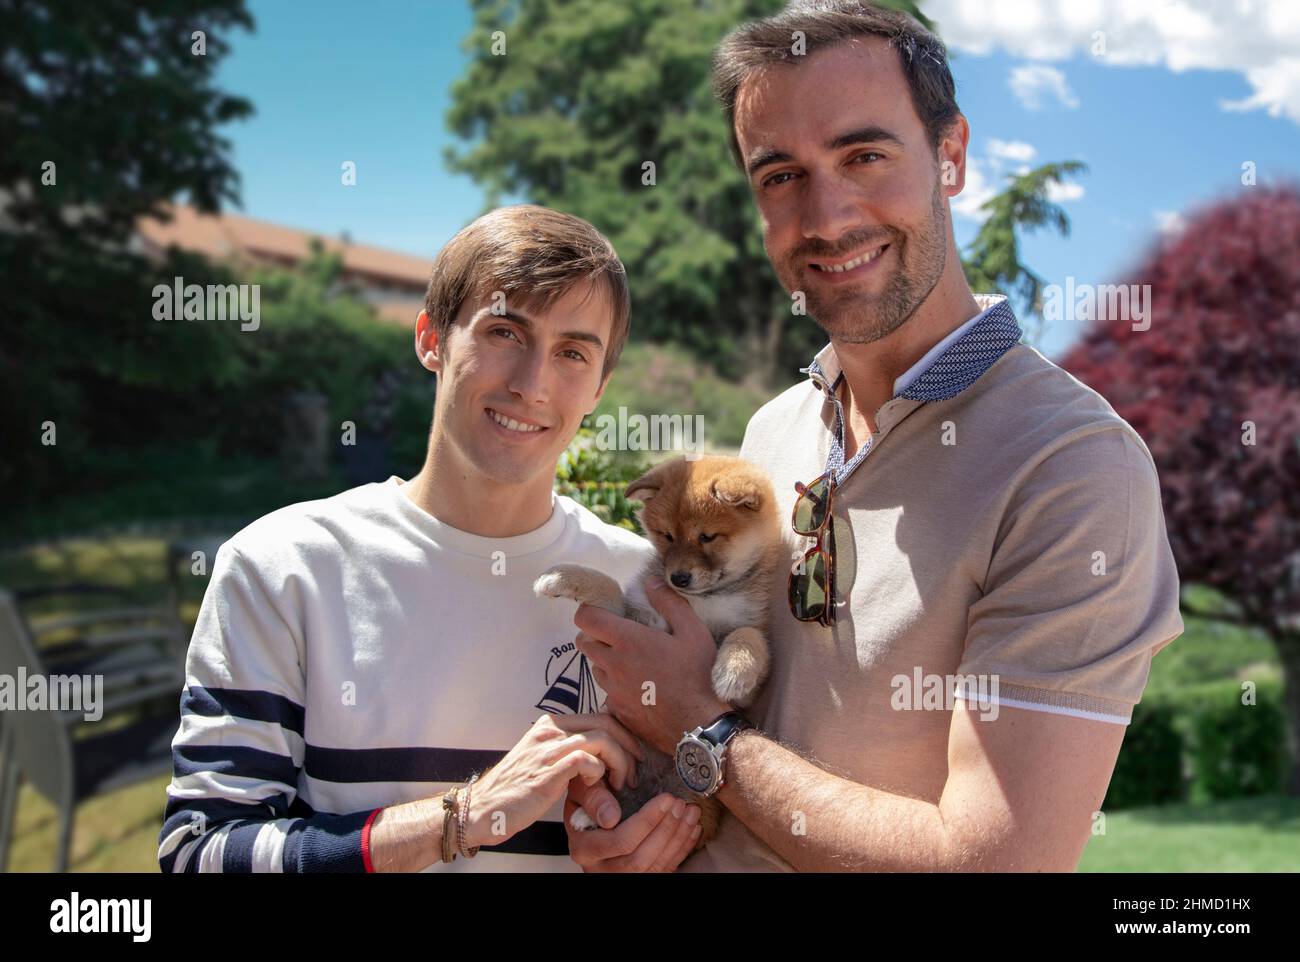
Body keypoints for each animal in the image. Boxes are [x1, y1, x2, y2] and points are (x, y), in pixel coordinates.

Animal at [530, 454, 780, 847]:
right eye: (667, 536)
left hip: (685, 794)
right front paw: (563, 576)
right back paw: (594, 814)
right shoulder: (637, 618)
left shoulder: (749, 641)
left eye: (707, 536)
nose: (678, 578)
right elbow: (607, 584)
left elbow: (748, 636)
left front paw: (734, 670)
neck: (700, 601)